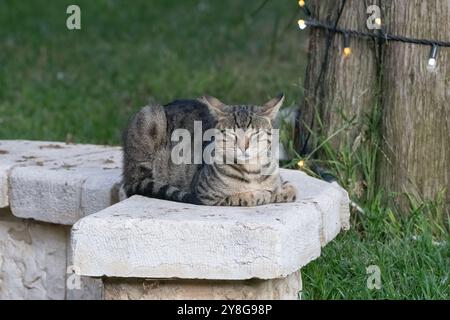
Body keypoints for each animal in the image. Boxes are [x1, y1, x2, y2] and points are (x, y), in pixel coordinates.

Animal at [123, 94, 298, 206]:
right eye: (232, 134)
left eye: (255, 133)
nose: (243, 147)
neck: (252, 171)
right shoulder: (205, 195)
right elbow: (243, 197)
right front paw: (260, 194)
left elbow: (290, 189)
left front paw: (279, 191)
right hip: (150, 117)